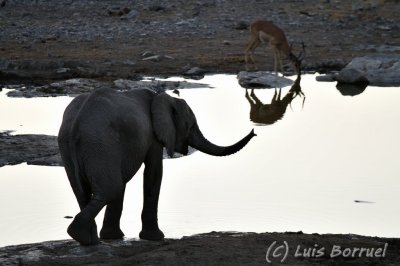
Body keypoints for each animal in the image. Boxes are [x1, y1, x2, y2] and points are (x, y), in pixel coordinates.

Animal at [57, 88, 255, 245]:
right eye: (190, 125)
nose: (254, 131)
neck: (162, 96)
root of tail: (75, 126)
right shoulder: (153, 136)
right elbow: (154, 172)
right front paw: (155, 237)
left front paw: (114, 237)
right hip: (101, 144)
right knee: (112, 187)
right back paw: (83, 236)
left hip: (73, 147)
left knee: (85, 192)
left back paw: (89, 239)